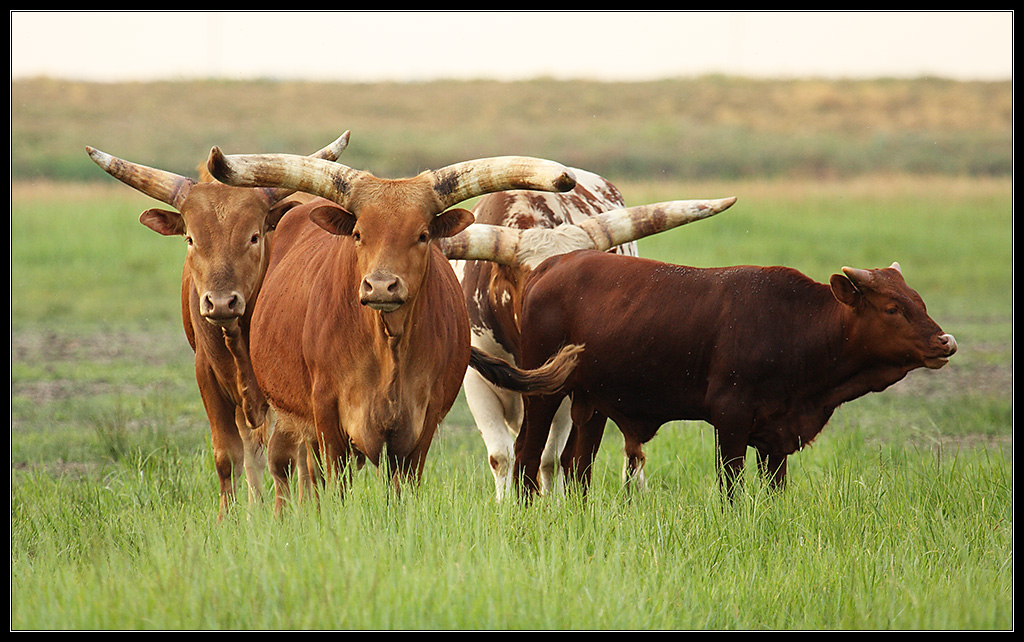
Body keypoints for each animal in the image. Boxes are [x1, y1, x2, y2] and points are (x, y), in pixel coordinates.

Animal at [81, 132, 352, 518]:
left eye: (254, 236)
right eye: (190, 239)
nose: (222, 302)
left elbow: (289, 455)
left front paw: (290, 513)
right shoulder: (207, 375)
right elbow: (229, 457)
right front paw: (232, 519)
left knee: (302, 454)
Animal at [205, 148, 585, 509]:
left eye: (423, 235)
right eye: (359, 234)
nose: (380, 286)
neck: (388, 343)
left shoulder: (422, 419)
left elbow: (403, 487)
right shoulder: (327, 412)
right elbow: (337, 483)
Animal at [516, 249, 954, 497]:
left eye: (919, 300)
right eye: (892, 308)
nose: (945, 341)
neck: (795, 326)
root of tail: (550, 266)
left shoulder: (776, 436)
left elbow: (775, 491)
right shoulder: (730, 418)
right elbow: (732, 488)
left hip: (593, 403)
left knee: (577, 465)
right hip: (543, 392)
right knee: (527, 454)